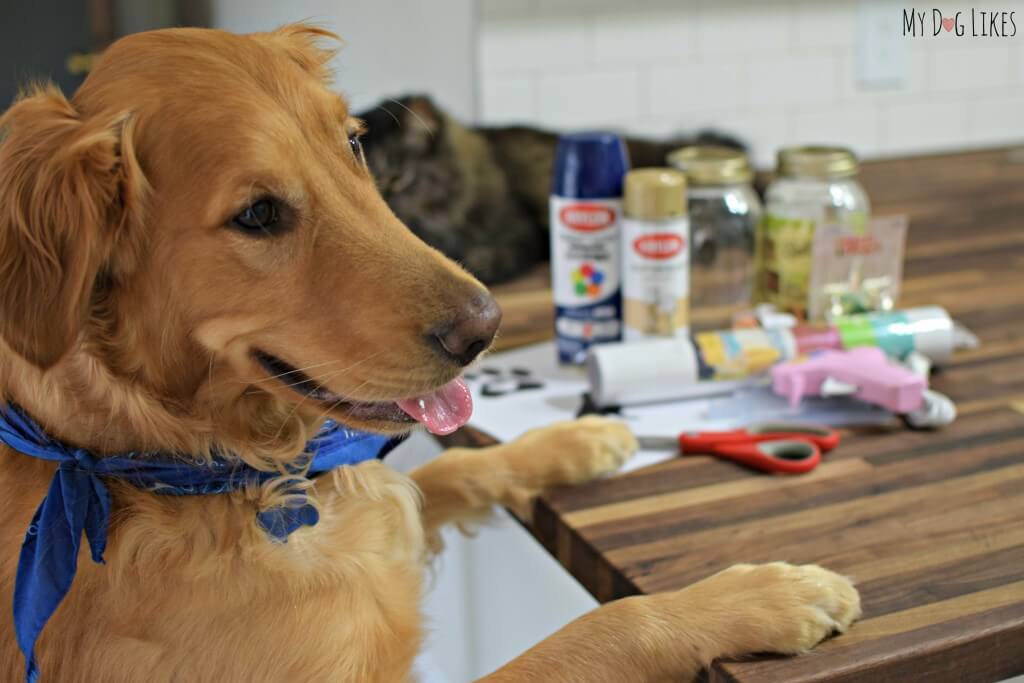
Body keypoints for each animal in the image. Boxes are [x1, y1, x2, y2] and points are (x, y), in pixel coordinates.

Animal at [0, 25, 860, 683]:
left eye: (353, 146)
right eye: (257, 214)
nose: (485, 329)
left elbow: (457, 466)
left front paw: (579, 437)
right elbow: (613, 623)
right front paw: (765, 597)